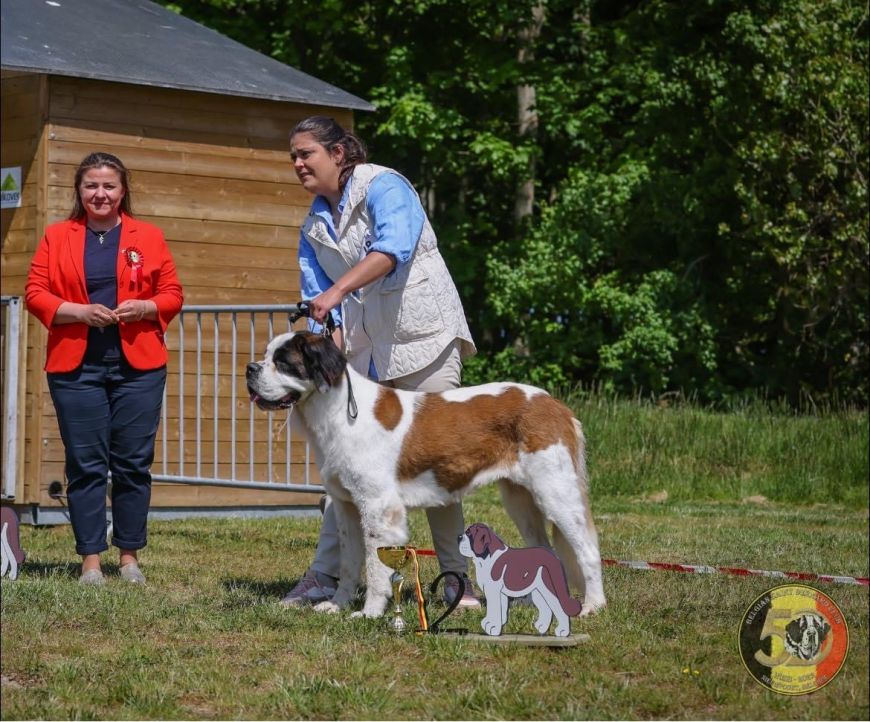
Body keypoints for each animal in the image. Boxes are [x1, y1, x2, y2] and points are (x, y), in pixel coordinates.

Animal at [245, 332, 608, 620]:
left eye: (283, 362)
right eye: (266, 355)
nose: (250, 368)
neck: (335, 410)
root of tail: (556, 405)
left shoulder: (379, 508)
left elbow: (375, 566)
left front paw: (369, 613)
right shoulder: (346, 506)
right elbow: (349, 562)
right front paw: (336, 605)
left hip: (555, 493)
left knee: (587, 549)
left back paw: (593, 606)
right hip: (520, 500)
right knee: (545, 551)